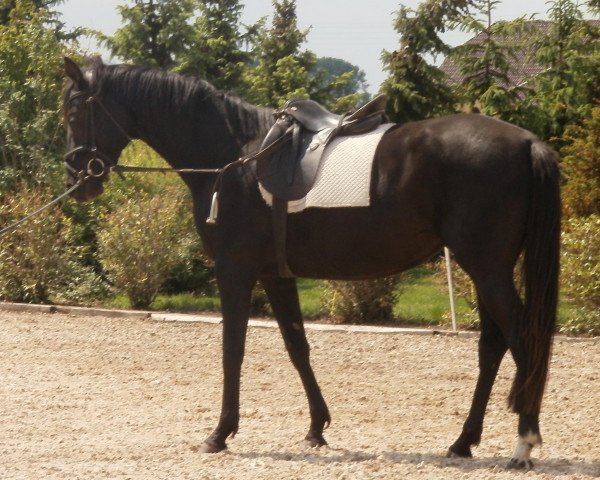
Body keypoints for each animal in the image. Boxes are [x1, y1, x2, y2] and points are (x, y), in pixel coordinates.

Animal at [63, 57, 560, 468]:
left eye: (72, 112)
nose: (78, 179)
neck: (234, 157)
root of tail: (528, 142)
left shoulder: (235, 271)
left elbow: (232, 349)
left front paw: (219, 434)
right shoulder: (274, 275)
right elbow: (297, 346)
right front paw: (317, 428)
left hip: (488, 269)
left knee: (522, 339)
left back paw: (524, 443)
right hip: (484, 269)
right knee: (492, 346)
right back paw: (463, 442)